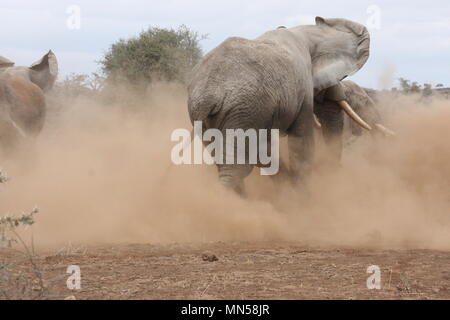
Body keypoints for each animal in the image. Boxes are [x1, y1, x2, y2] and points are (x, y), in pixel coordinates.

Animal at [188, 17, 370, 195]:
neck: (306, 32)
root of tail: (208, 94)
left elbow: (267, 150)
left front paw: (287, 191)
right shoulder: (302, 89)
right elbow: (302, 144)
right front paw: (300, 198)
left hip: (217, 116)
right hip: (243, 109)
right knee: (236, 167)